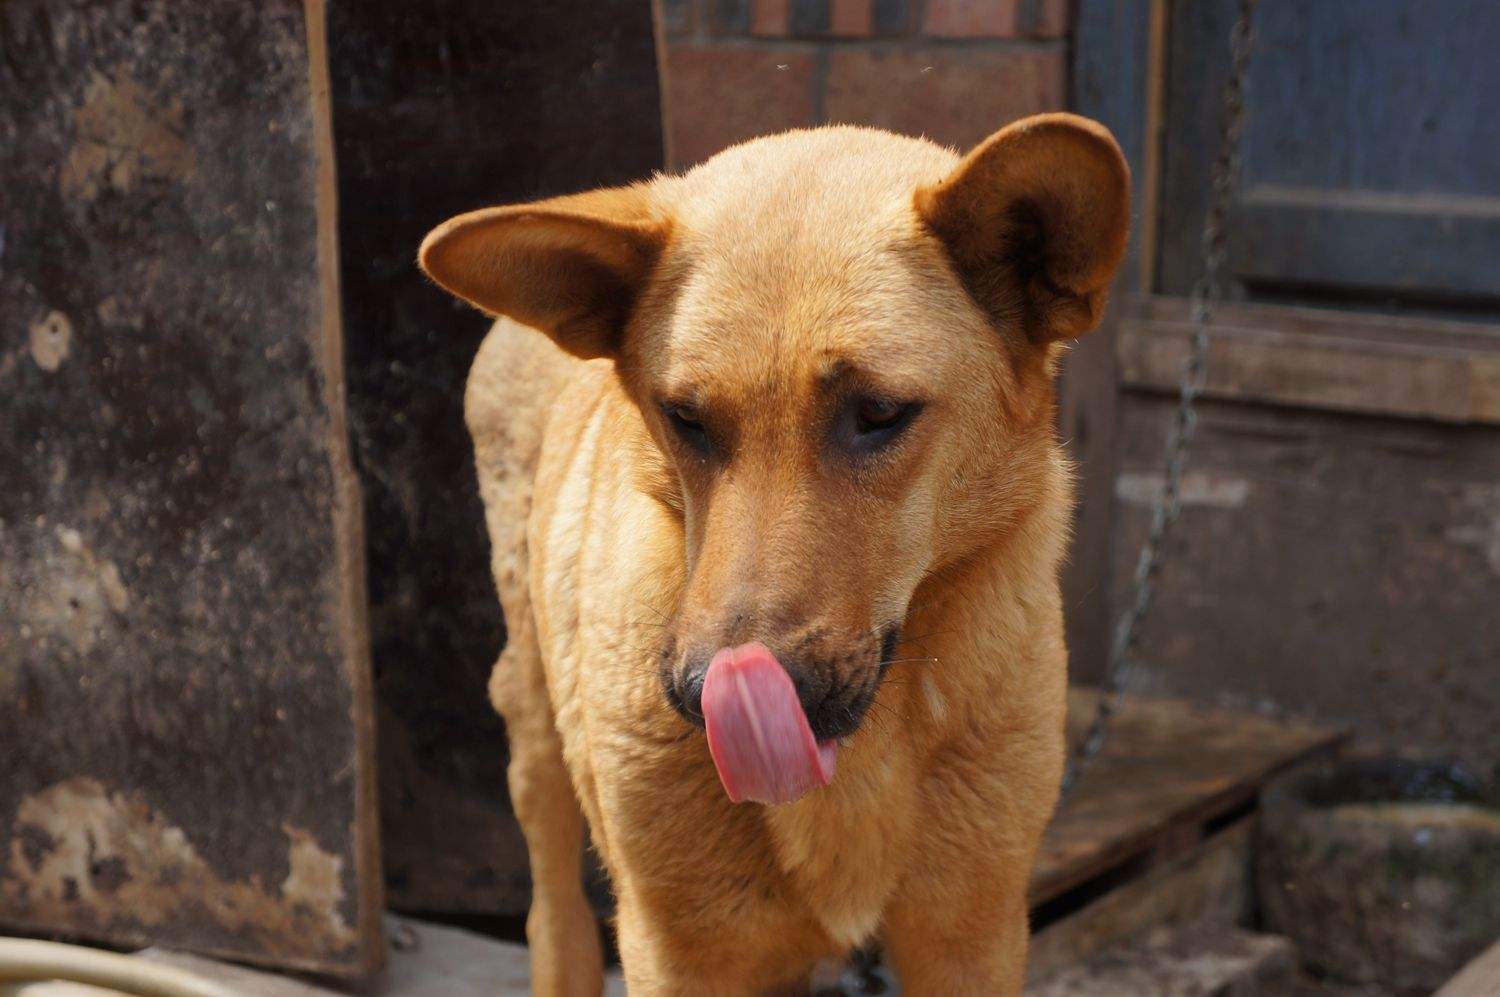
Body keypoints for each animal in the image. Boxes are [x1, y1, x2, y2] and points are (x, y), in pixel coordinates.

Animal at [420, 112, 1128, 989]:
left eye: (880, 412)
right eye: (684, 418)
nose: (706, 696)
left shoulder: (971, 937)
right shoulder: (680, 952)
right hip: (535, 721)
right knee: (553, 910)